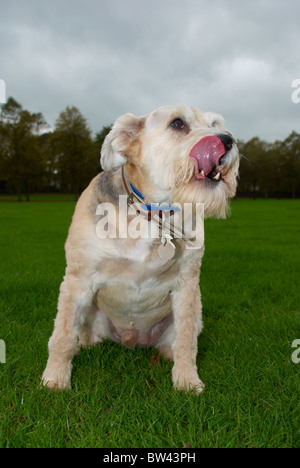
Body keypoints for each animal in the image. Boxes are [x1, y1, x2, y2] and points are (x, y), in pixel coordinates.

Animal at [42, 104, 239, 394]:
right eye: (178, 123)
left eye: (215, 124)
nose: (227, 140)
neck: (152, 214)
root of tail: (132, 339)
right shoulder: (78, 278)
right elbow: (63, 334)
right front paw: (55, 378)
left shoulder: (187, 284)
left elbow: (186, 340)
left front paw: (187, 380)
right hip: (90, 310)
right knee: (82, 334)